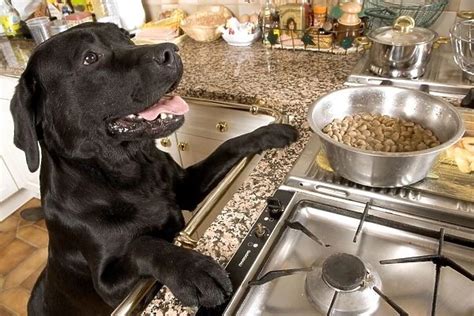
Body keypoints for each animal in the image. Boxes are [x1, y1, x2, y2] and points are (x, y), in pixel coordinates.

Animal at [11, 23, 298, 314]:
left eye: (126, 36)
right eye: (90, 57)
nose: (171, 51)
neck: (129, 171)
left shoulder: (189, 186)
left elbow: (227, 145)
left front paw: (269, 132)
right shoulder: (108, 285)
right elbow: (143, 245)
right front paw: (193, 270)